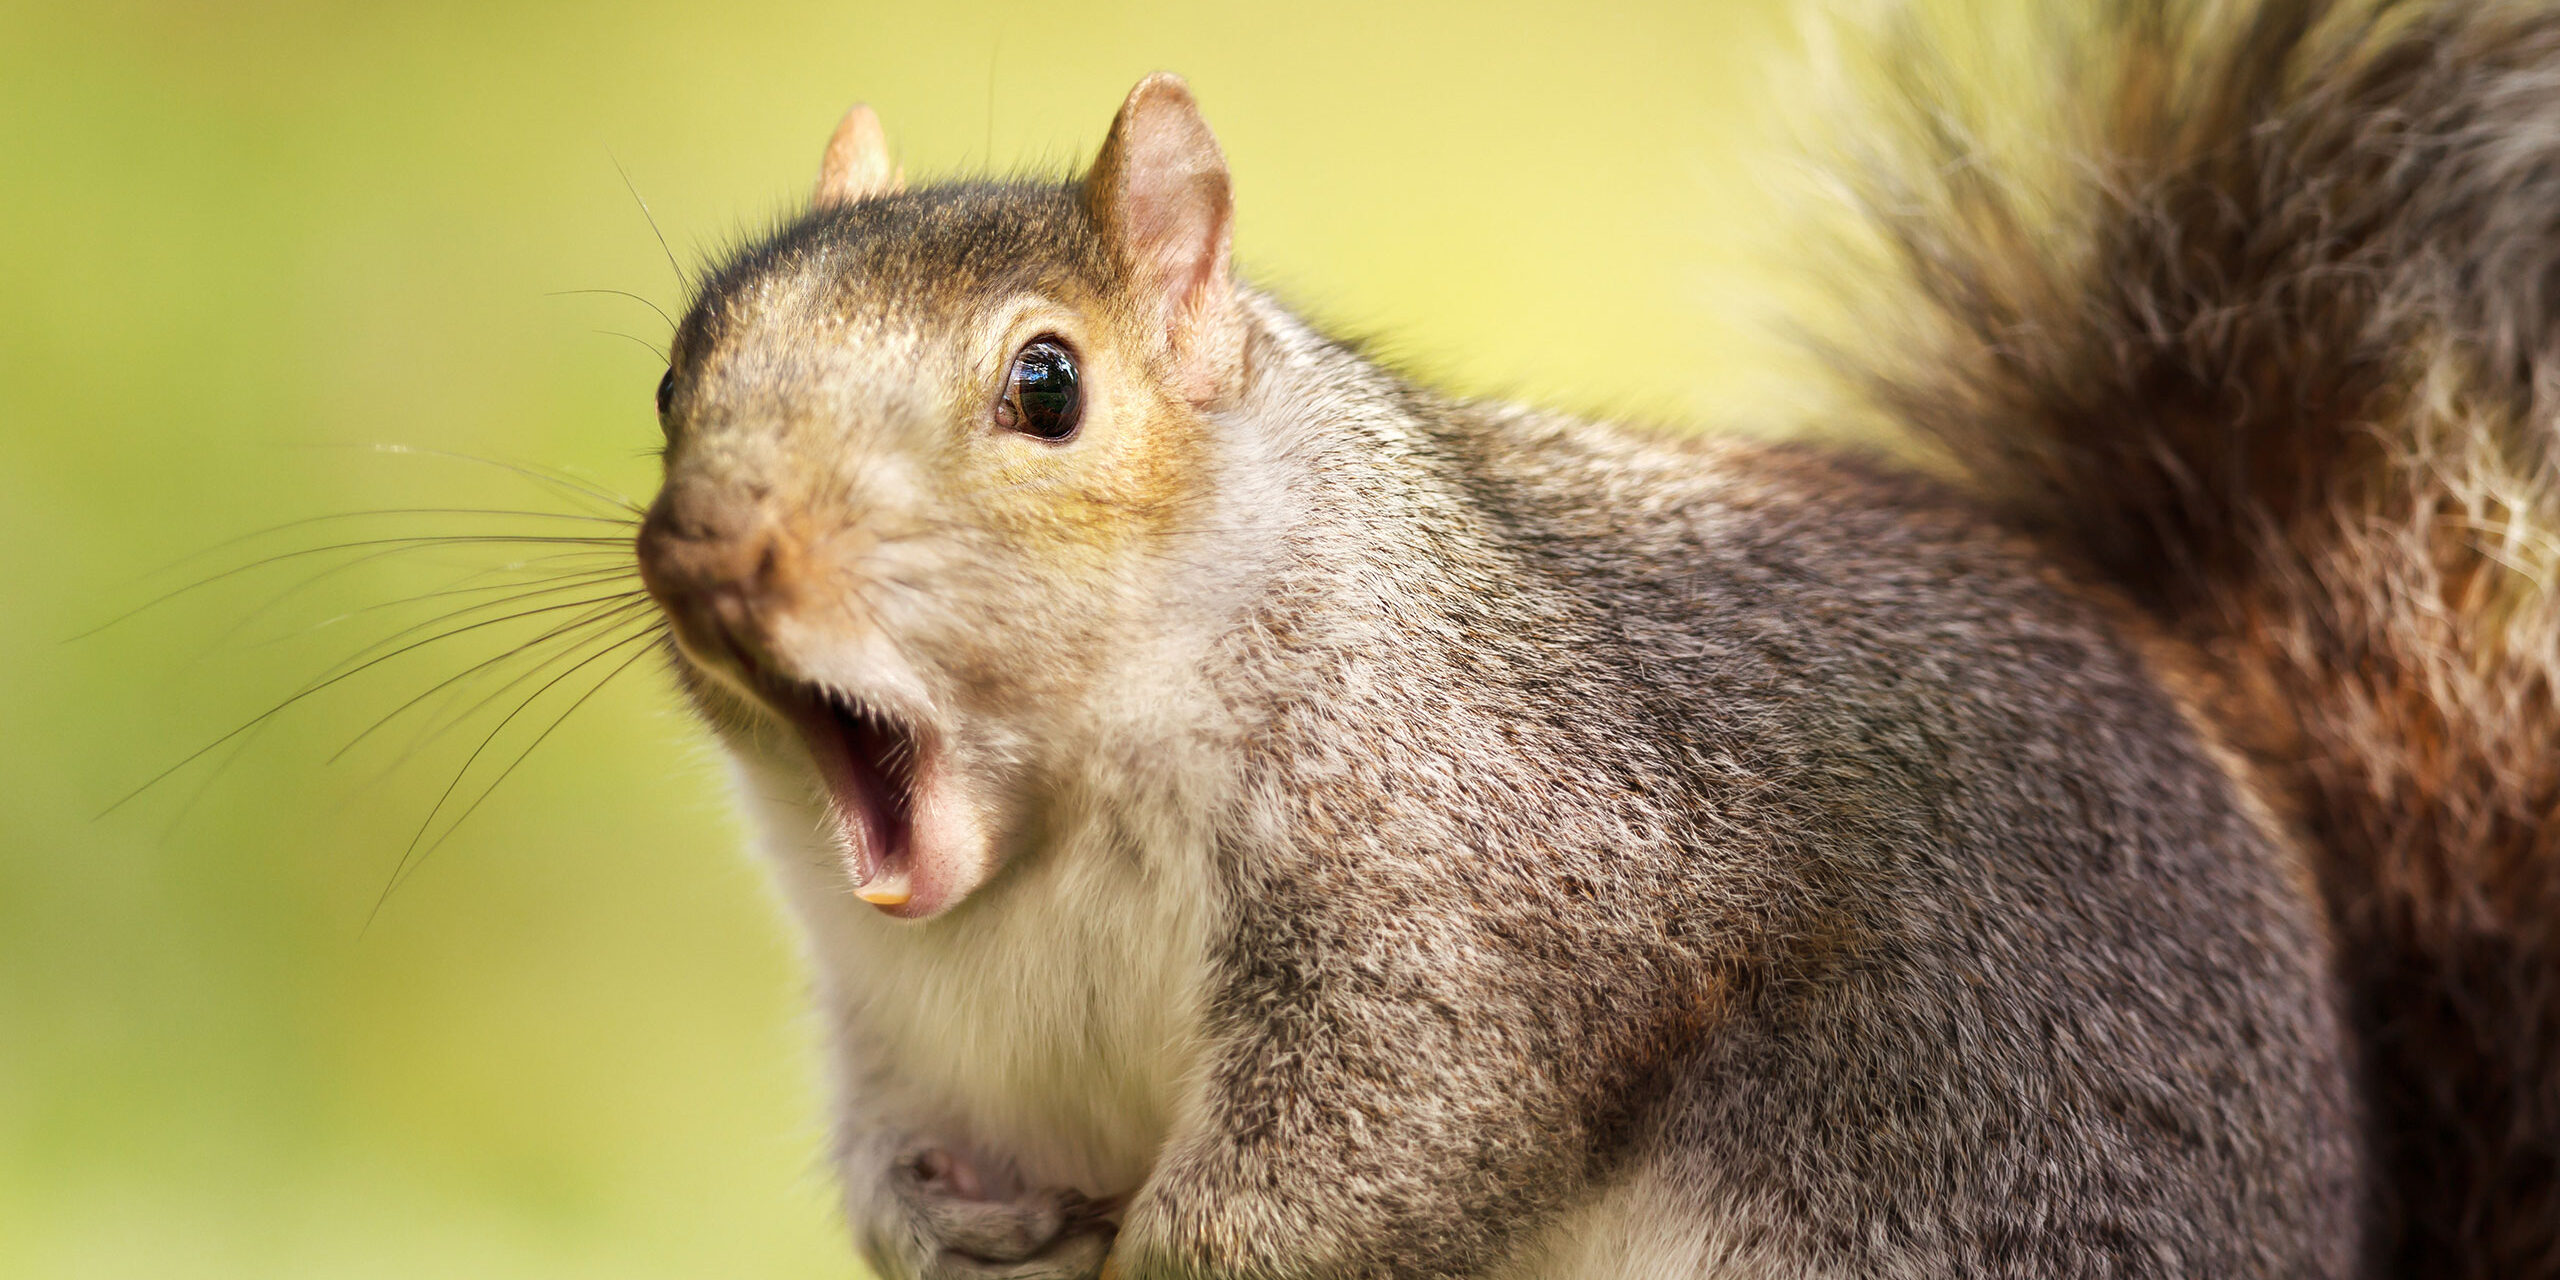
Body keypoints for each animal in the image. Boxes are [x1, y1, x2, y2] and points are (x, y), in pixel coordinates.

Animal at [628, 0, 2558, 1276]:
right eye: (678, 370)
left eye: (1048, 387)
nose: (709, 548)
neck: (1043, 851)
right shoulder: (903, 1022)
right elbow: (892, 1151)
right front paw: (935, 1221)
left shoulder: (1499, 867)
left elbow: (1396, 1137)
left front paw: (1162, 1257)